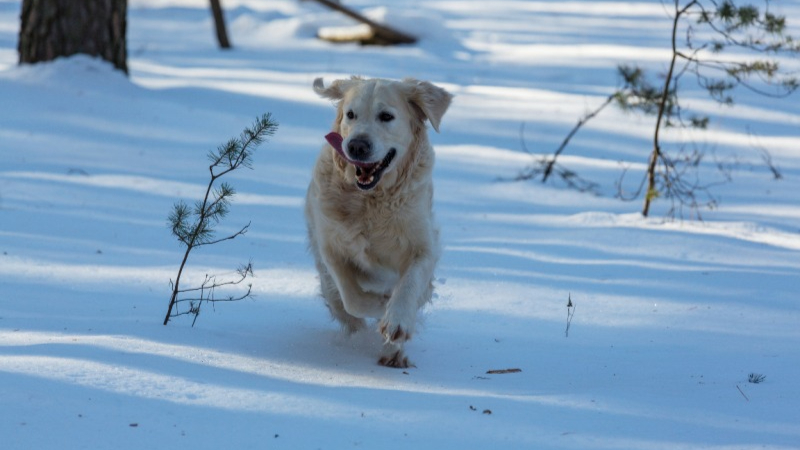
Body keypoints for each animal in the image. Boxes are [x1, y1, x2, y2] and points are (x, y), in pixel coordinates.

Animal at [304, 75, 450, 368]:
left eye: (386, 116)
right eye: (351, 114)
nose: (357, 146)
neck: (370, 200)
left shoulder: (422, 246)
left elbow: (410, 284)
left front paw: (397, 320)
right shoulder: (331, 250)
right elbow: (352, 299)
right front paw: (381, 306)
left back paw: (393, 353)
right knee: (342, 307)